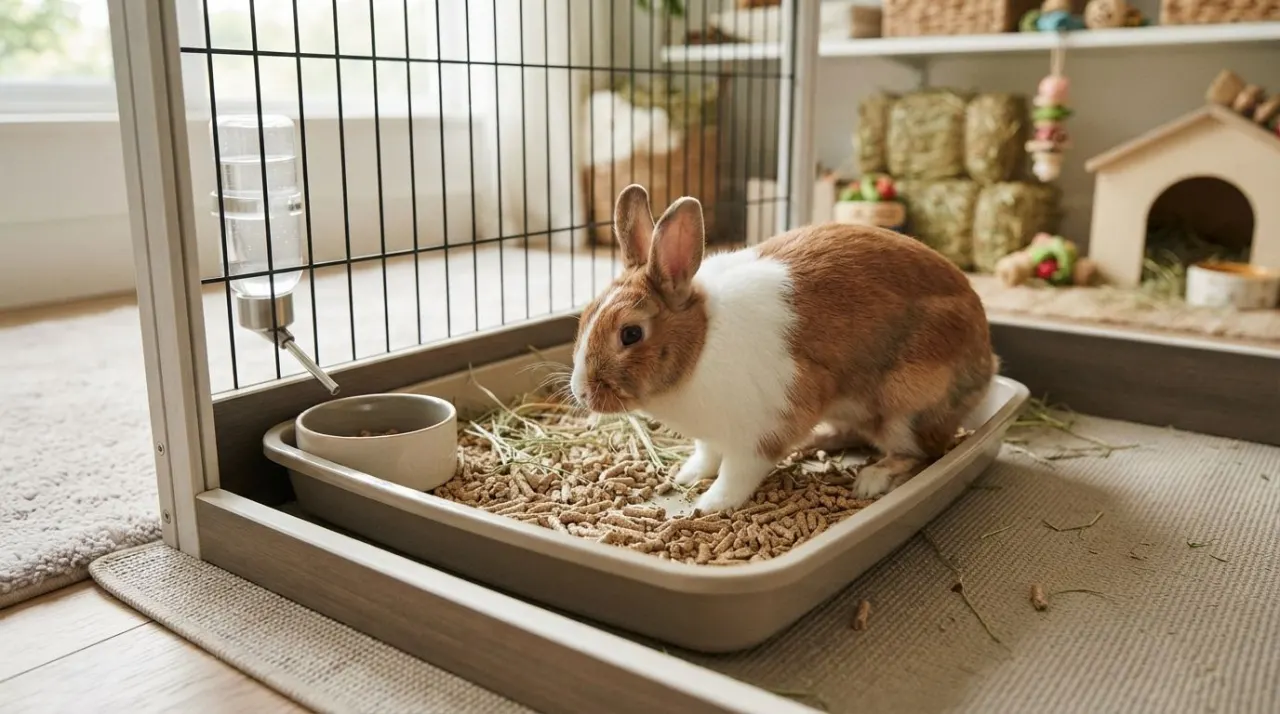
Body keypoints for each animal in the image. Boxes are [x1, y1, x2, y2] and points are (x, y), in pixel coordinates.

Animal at [569, 184, 998, 513]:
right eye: (585, 315)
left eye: (630, 334)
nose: (583, 393)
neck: (700, 342)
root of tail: (987, 365)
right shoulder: (710, 435)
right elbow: (706, 455)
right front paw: (687, 474)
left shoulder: (762, 431)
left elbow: (736, 474)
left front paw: (710, 504)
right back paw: (814, 443)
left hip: (905, 403)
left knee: (919, 452)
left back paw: (870, 480)